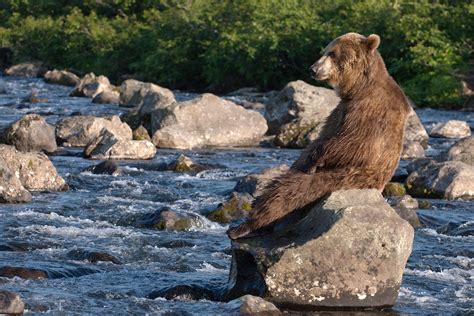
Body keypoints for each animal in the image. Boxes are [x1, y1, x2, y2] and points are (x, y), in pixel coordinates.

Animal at [229, 32, 412, 239]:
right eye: (325, 51)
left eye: (332, 53)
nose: (312, 69)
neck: (358, 88)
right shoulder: (340, 110)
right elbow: (321, 139)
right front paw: (306, 159)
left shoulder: (369, 111)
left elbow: (351, 143)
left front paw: (314, 160)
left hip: (345, 178)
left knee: (291, 191)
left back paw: (245, 226)